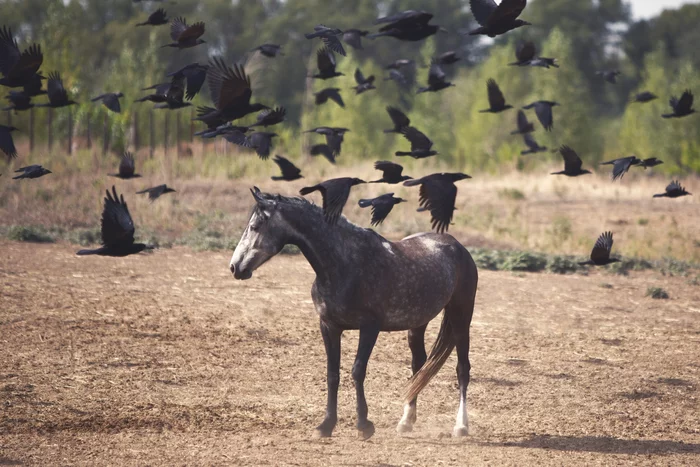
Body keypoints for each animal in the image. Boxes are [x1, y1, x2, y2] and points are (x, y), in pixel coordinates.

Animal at [230, 188, 482, 440]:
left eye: (255, 226)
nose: (235, 267)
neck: (344, 265)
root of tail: (457, 246)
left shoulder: (369, 328)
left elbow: (357, 371)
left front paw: (363, 425)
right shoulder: (328, 326)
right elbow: (332, 374)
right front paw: (326, 425)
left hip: (461, 317)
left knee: (462, 369)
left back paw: (461, 426)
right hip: (417, 324)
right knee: (418, 365)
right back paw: (406, 421)